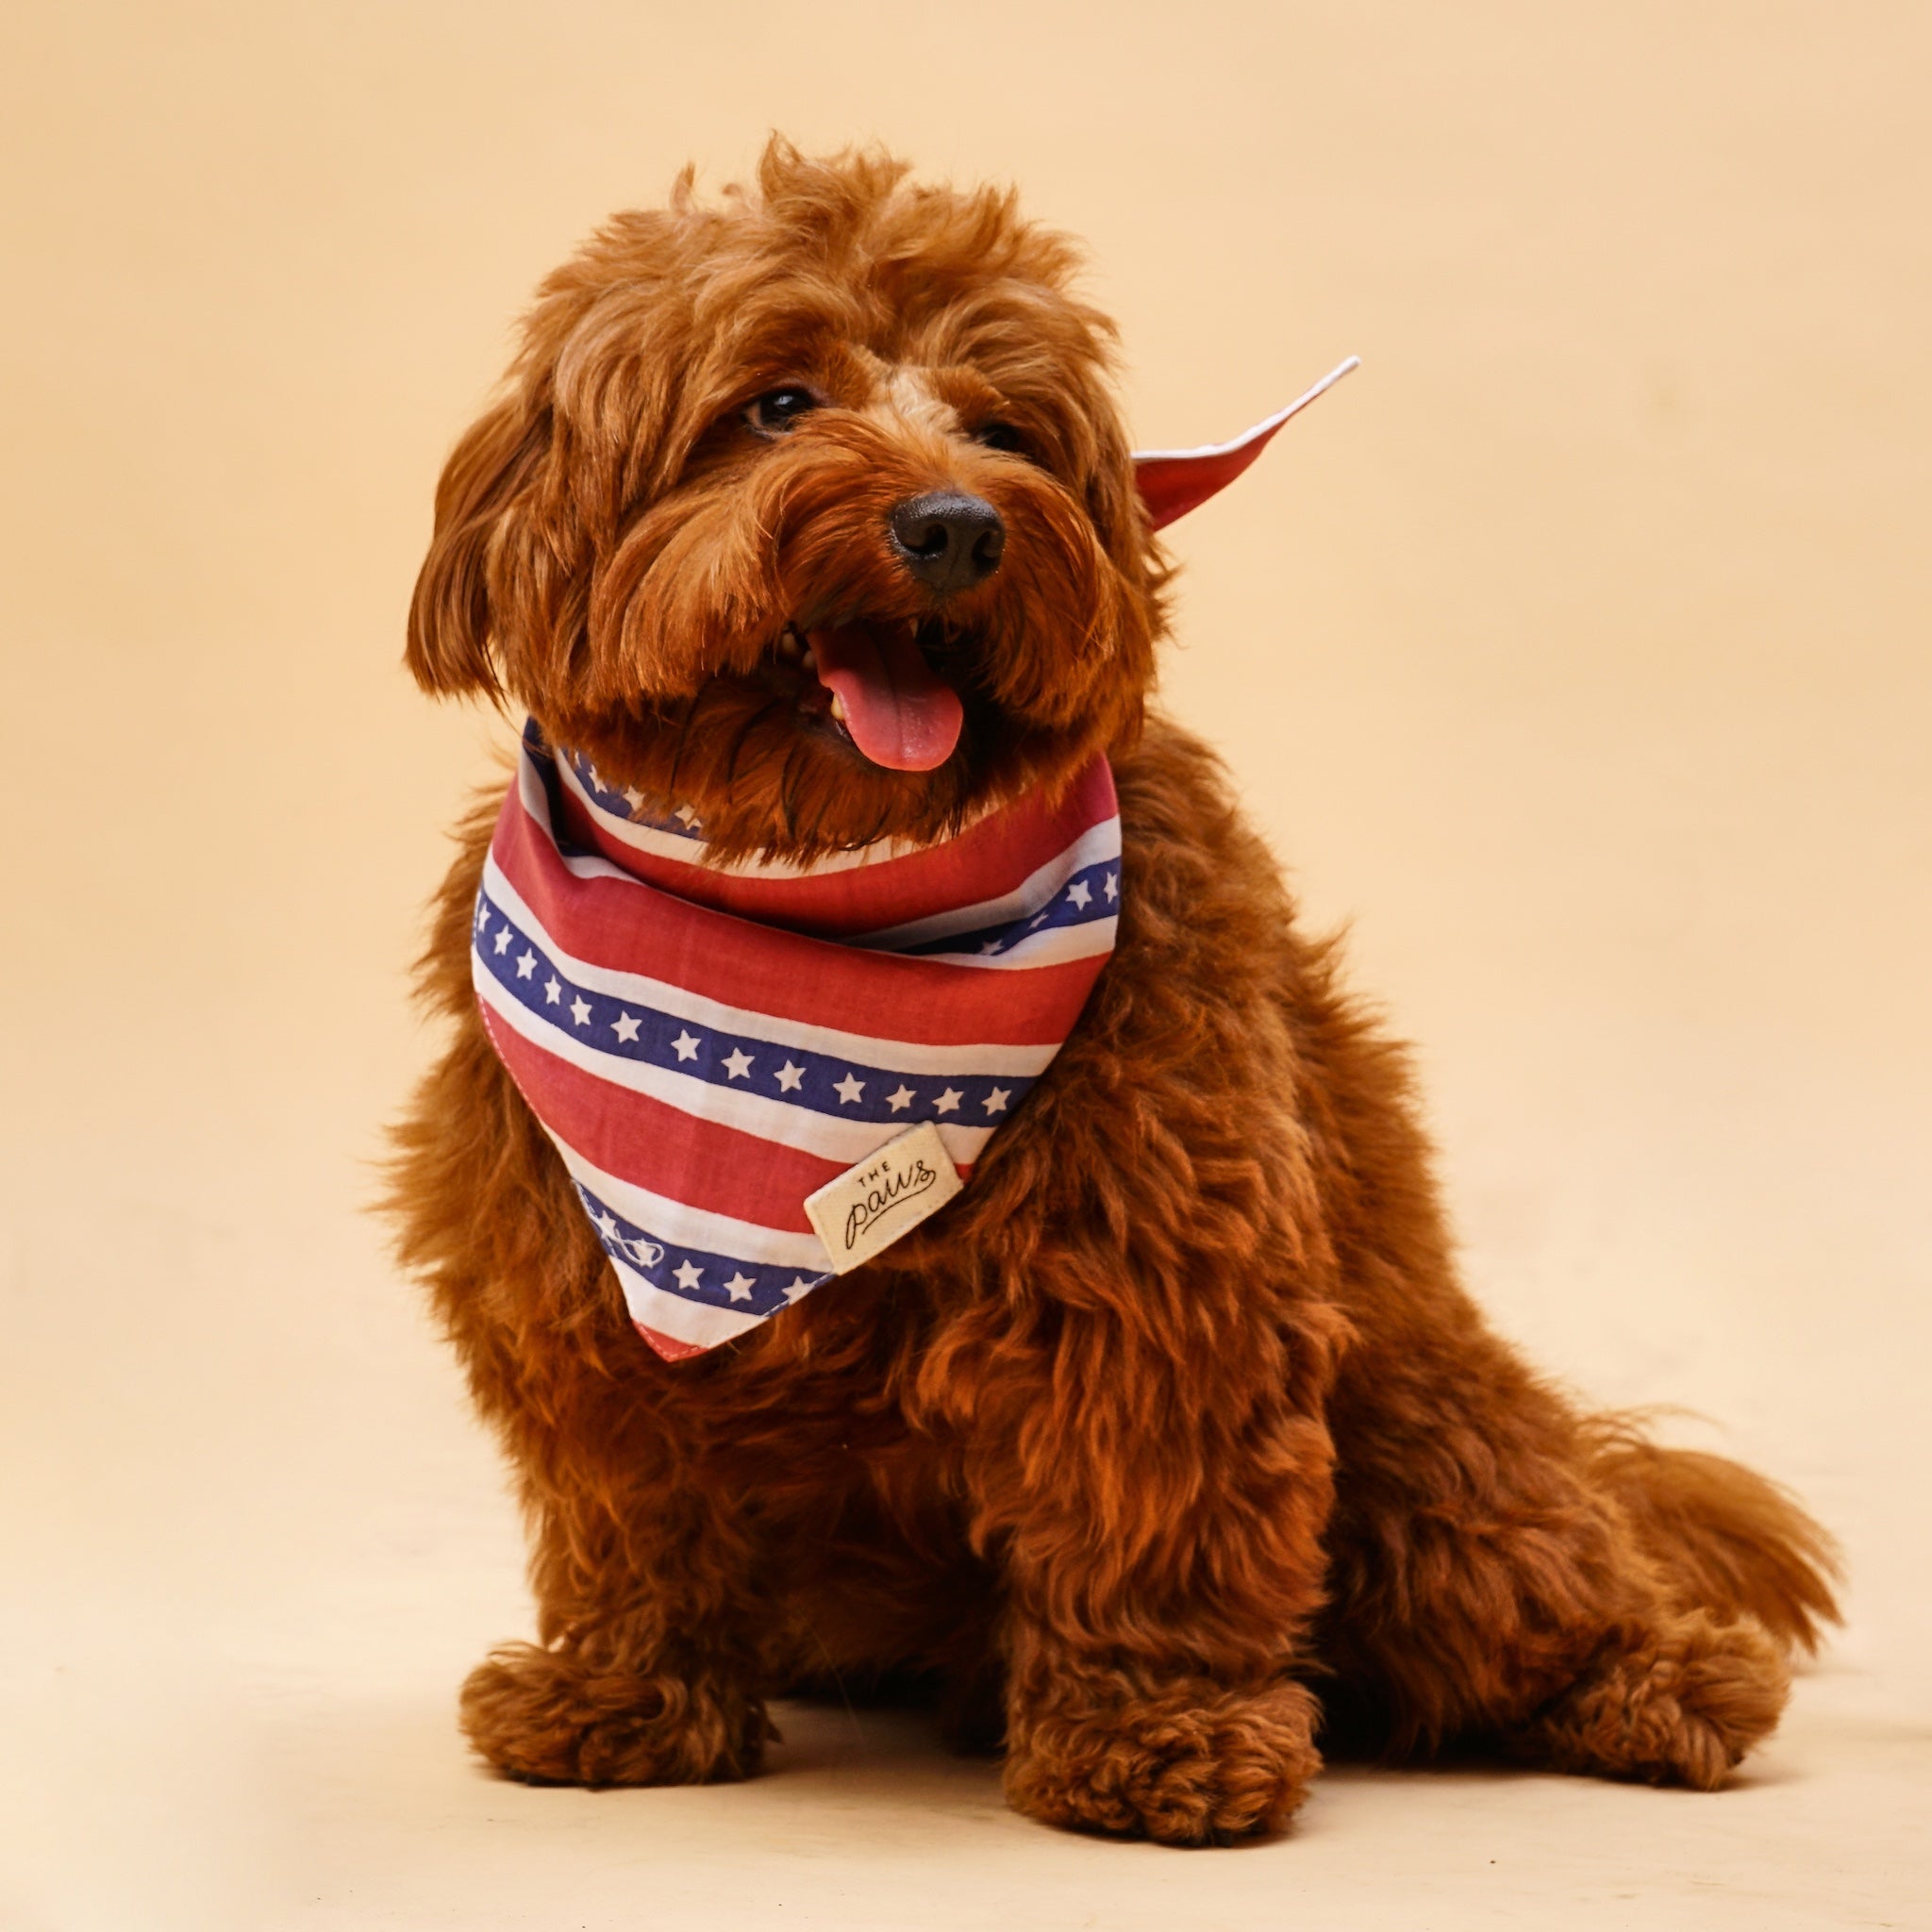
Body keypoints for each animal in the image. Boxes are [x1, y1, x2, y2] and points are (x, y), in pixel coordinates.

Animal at [384, 146, 1831, 1839]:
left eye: (1005, 428)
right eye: (777, 402)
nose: (954, 527)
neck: (821, 893)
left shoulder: (1159, 1257)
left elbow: (1158, 1505)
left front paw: (1159, 1729)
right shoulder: (566, 1267)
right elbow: (634, 1511)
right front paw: (625, 1695)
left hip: (1428, 1445)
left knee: (1542, 1571)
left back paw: (1657, 1677)